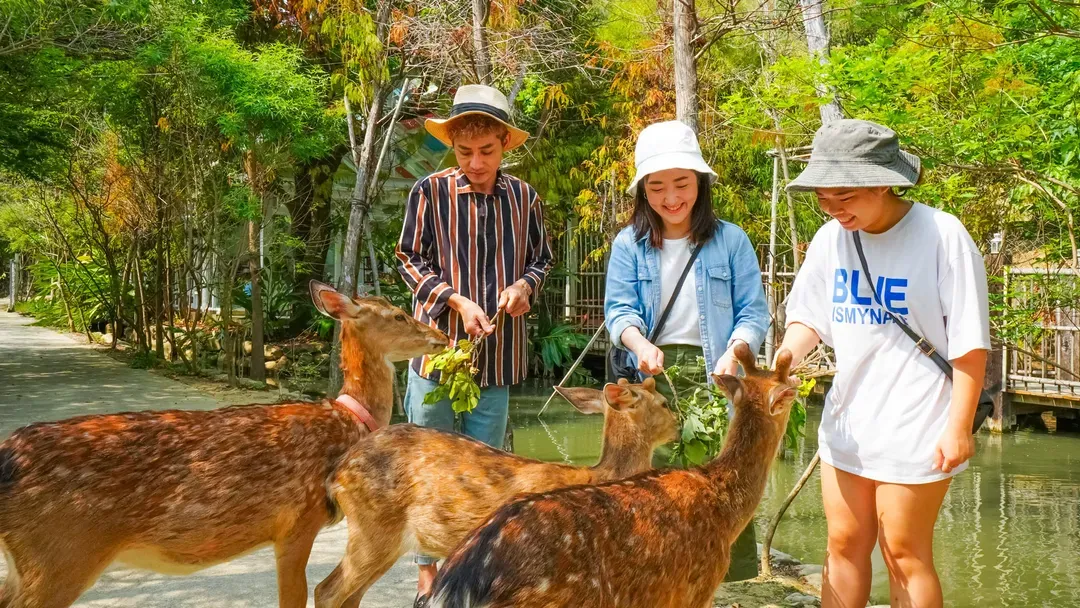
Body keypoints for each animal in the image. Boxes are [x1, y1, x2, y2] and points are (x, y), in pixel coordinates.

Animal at [312, 375, 679, 608]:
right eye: (663, 402)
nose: (678, 423)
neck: (599, 476)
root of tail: (338, 472)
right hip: (373, 528)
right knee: (327, 591)